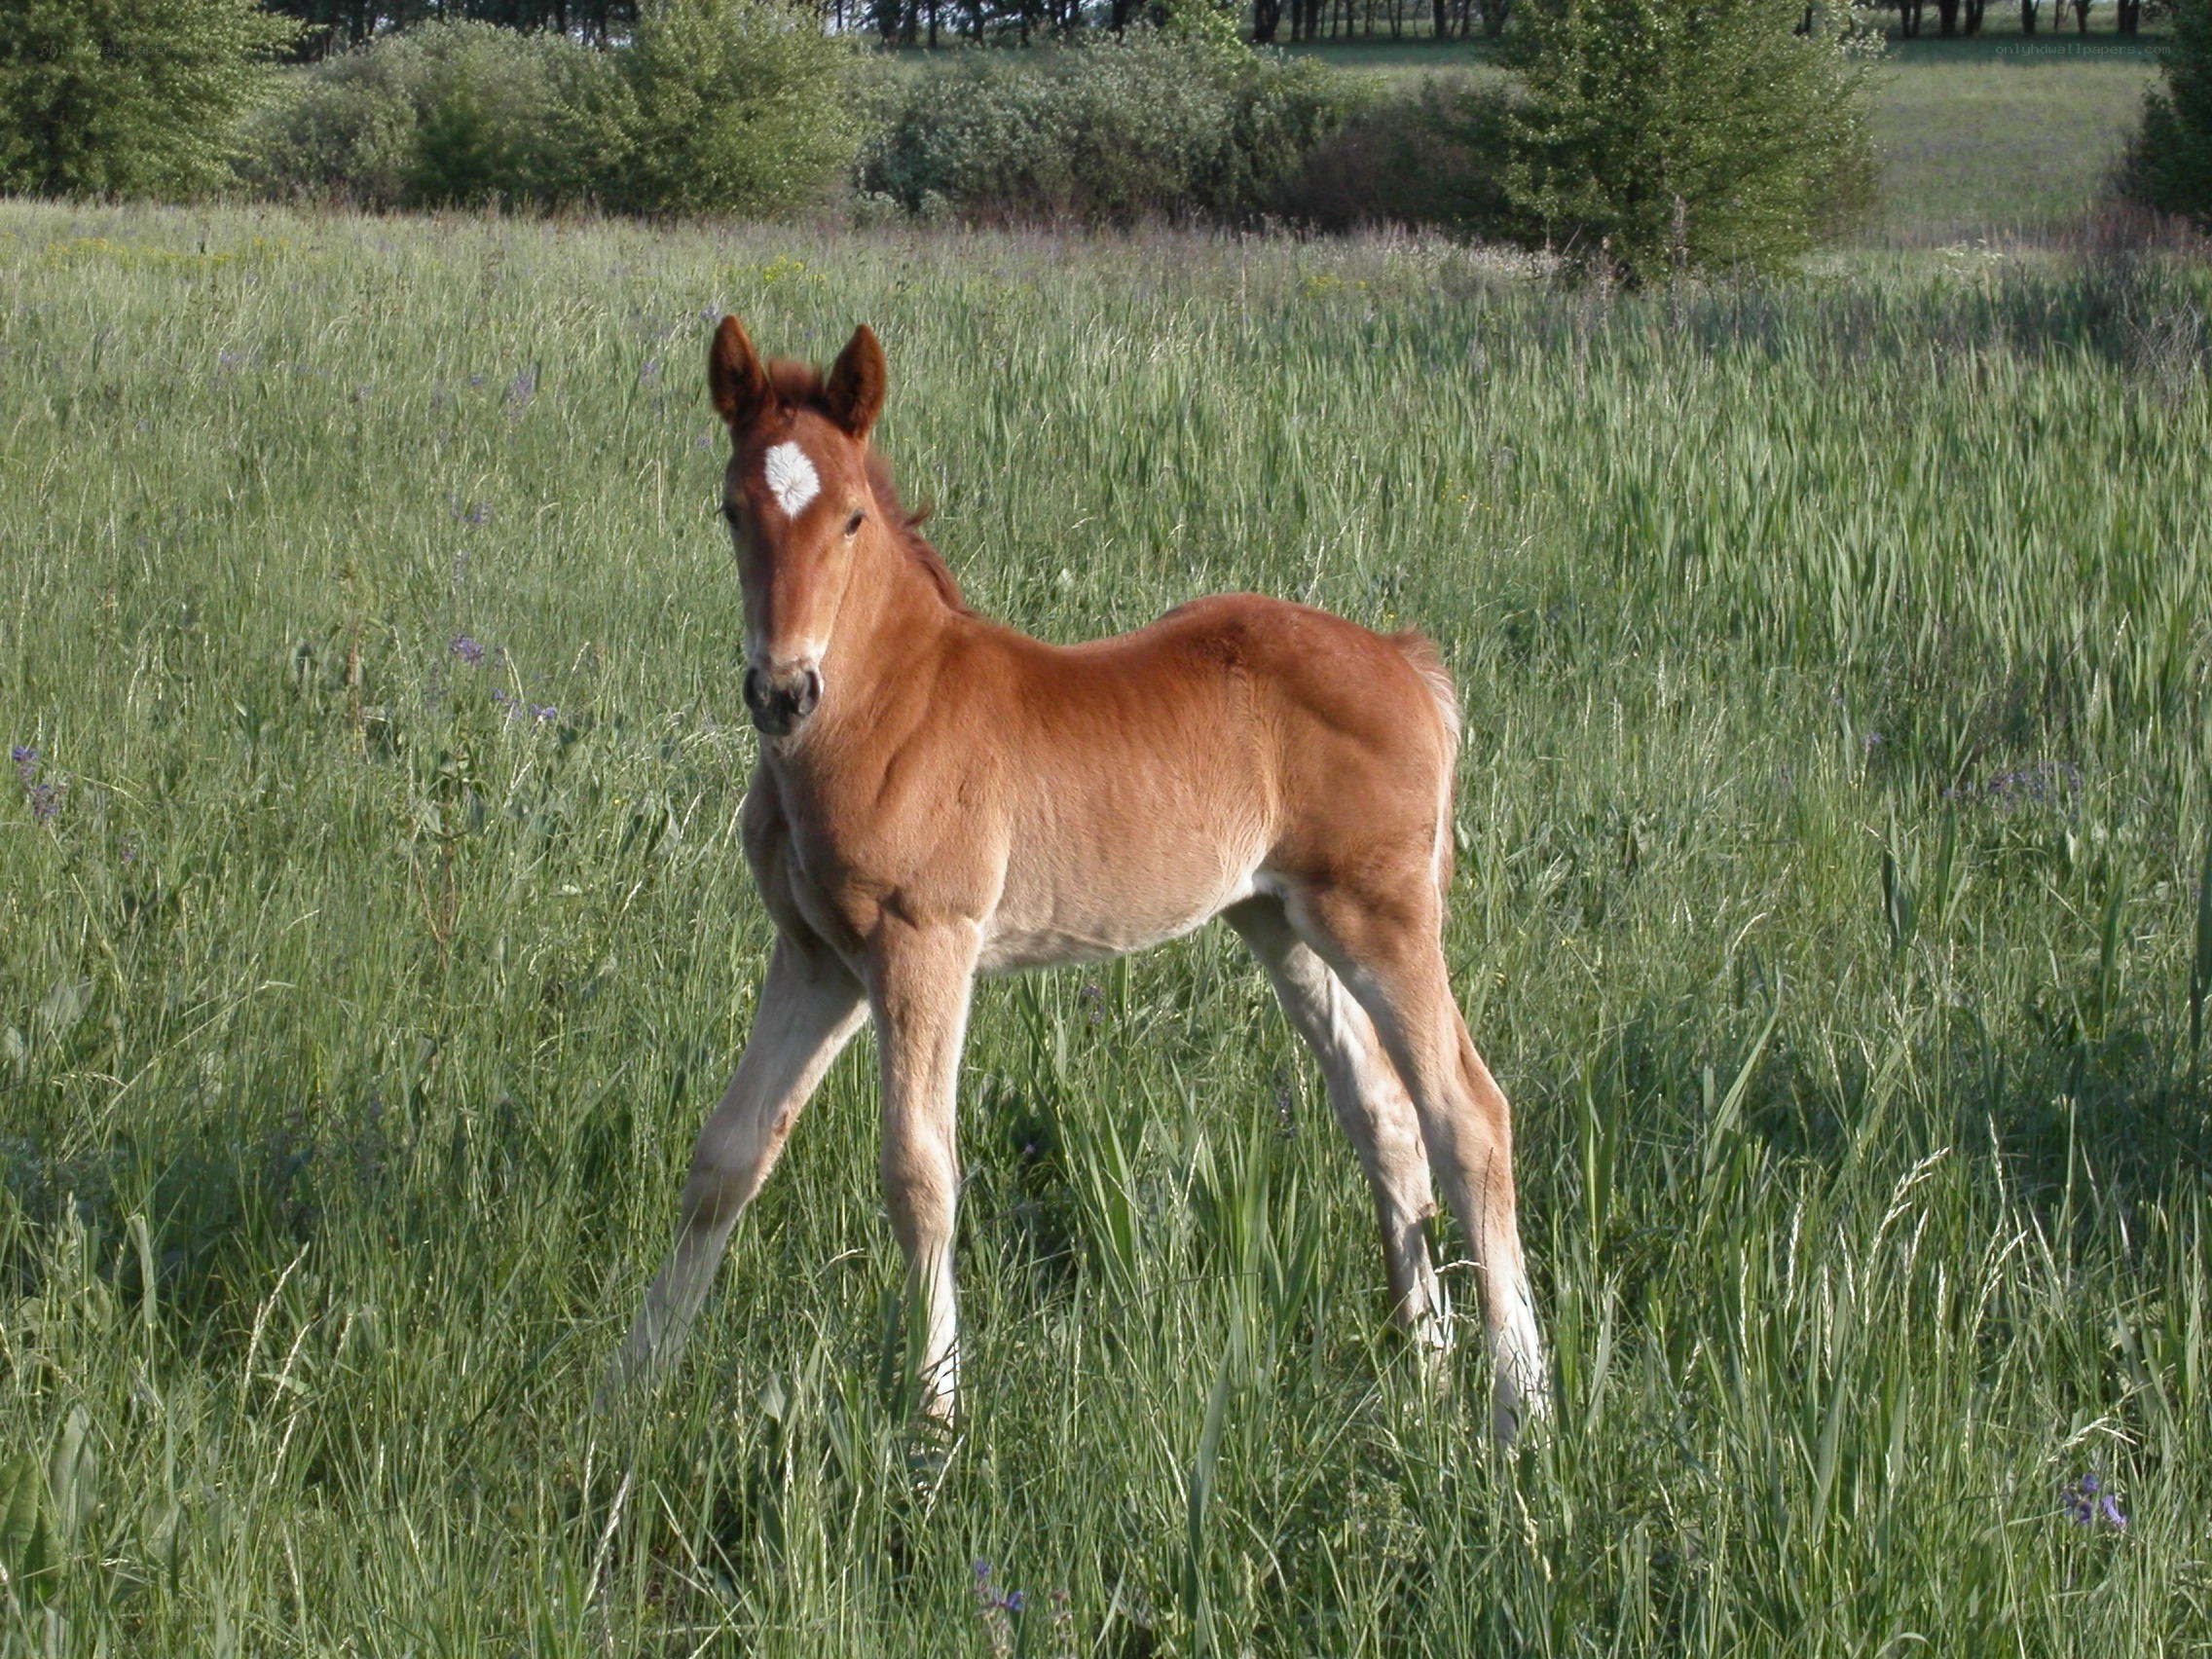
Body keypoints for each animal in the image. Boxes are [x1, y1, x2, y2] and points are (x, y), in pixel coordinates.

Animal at [602, 316, 1547, 1440]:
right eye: (732, 510)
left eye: (851, 518)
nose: (782, 690)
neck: (889, 708)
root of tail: (1406, 660)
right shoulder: (818, 957)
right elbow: (728, 1155)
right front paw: (630, 1386)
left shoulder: (924, 943)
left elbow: (919, 1173)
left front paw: (936, 1420)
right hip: (1278, 920)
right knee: (1384, 1115)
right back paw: (1428, 1370)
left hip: (1382, 916)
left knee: (1469, 1115)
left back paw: (1520, 1407)